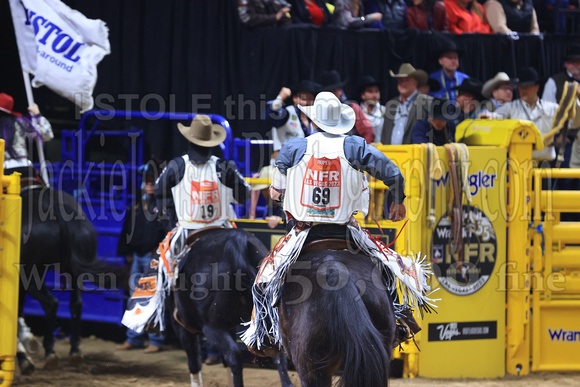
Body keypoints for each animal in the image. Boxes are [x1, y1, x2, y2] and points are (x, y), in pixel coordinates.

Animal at [18, 187, 122, 370]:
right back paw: (74, 352)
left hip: (31, 275)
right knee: (76, 305)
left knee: (50, 303)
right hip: (74, 272)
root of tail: (54, 207)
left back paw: (49, 353)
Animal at [171, 229, 290, 387]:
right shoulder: (231, 327)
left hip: (213, 328)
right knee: (278, 355)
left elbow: (194, 362)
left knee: (234, 357)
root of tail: (237, 243)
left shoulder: (183, 327)